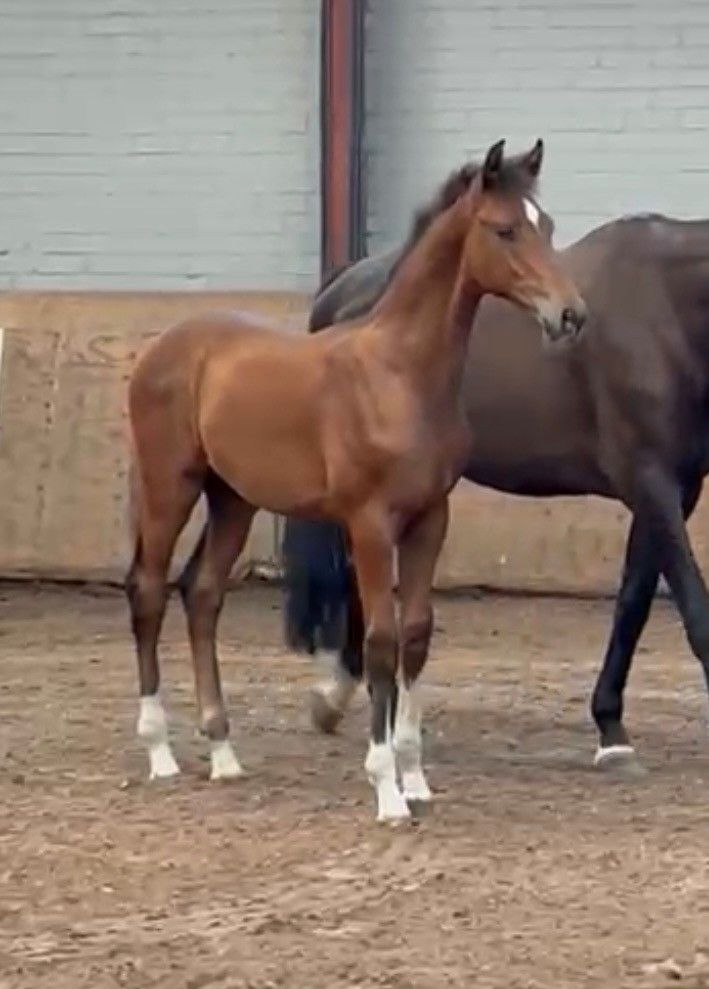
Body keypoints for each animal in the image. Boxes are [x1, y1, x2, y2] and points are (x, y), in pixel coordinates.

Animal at [125, 138, 585, 823]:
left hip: (232, 499)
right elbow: (380, 638)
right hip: (169, 486)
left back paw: (224, 754)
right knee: (149, 592)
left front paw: (416, 776)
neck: (399, 374)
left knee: (202, 594)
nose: (571, 315)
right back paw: (160, 753)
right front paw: (386, 788)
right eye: (504, 230)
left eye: (547, 225)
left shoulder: (429, 519)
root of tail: (161, 349)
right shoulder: (369, 523)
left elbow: (416, 634)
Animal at [282, 193, 709, 777]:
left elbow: (634, 602)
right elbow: (693, 606)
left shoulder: (673, 490)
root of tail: (344, 285)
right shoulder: (650, 481)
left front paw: (612, 731)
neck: (666, 310)